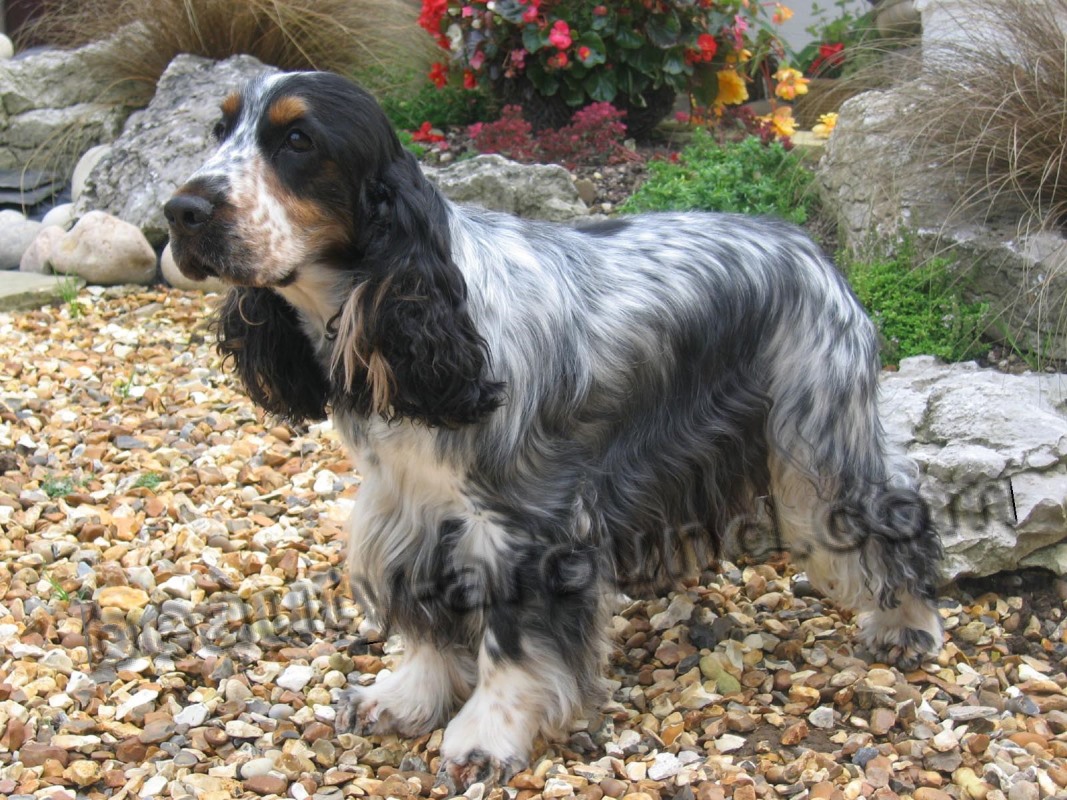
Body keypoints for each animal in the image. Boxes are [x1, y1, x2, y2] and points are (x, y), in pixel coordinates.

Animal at [164, 72, 943, 793]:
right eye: (219, 129)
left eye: (298, 140)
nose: (180, 211)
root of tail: (804, 240)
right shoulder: (407, 507)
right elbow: (425, 620)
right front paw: (407, 696)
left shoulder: (526, 523)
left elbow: (512, 642)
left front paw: (486, 734)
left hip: (818, 431)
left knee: (891, 510)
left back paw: (907, 624)